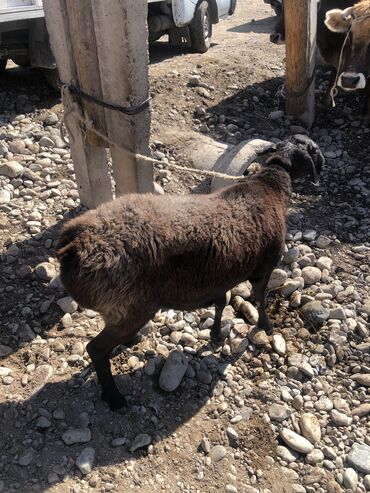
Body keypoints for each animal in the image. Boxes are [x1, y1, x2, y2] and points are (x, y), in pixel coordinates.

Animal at [57, 134, 324, 408]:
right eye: (314, 152)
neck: (269, 186)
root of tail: (74, 244)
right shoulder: (263, 269)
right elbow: (260, 299)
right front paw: (266, 326)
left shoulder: (220, 275)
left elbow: (221, 301)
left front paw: (215, 333)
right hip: (130, 305)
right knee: (96, 349)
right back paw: (115, 397)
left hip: (121, 308)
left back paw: (129, 344)